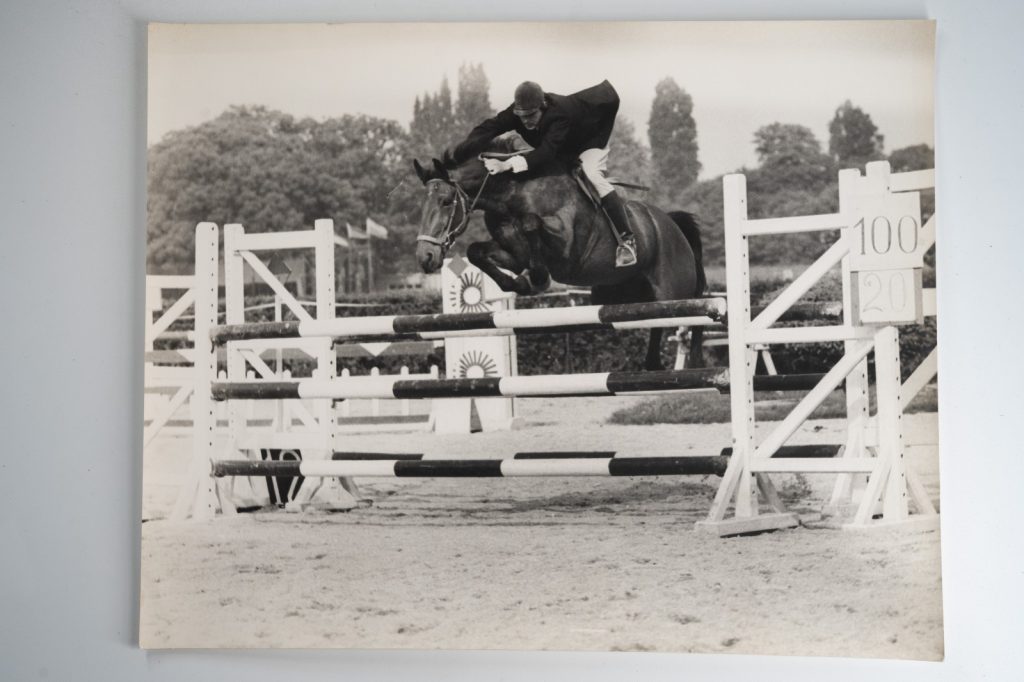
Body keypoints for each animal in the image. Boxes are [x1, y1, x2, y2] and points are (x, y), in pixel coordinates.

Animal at [412, 150, 706, 370]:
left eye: (446, 202)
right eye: (421, 206)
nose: (426, 257)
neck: (511, 196)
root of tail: (672, 224)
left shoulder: (566, 248)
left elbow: (531, 224)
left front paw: (538, 278)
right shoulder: (514, 255)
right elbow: (476, 251)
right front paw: (520, 283)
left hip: (674, 291)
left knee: (694, 313)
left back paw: (692, 362)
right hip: (620, 295)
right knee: (656, 320)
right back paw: (654, 363)